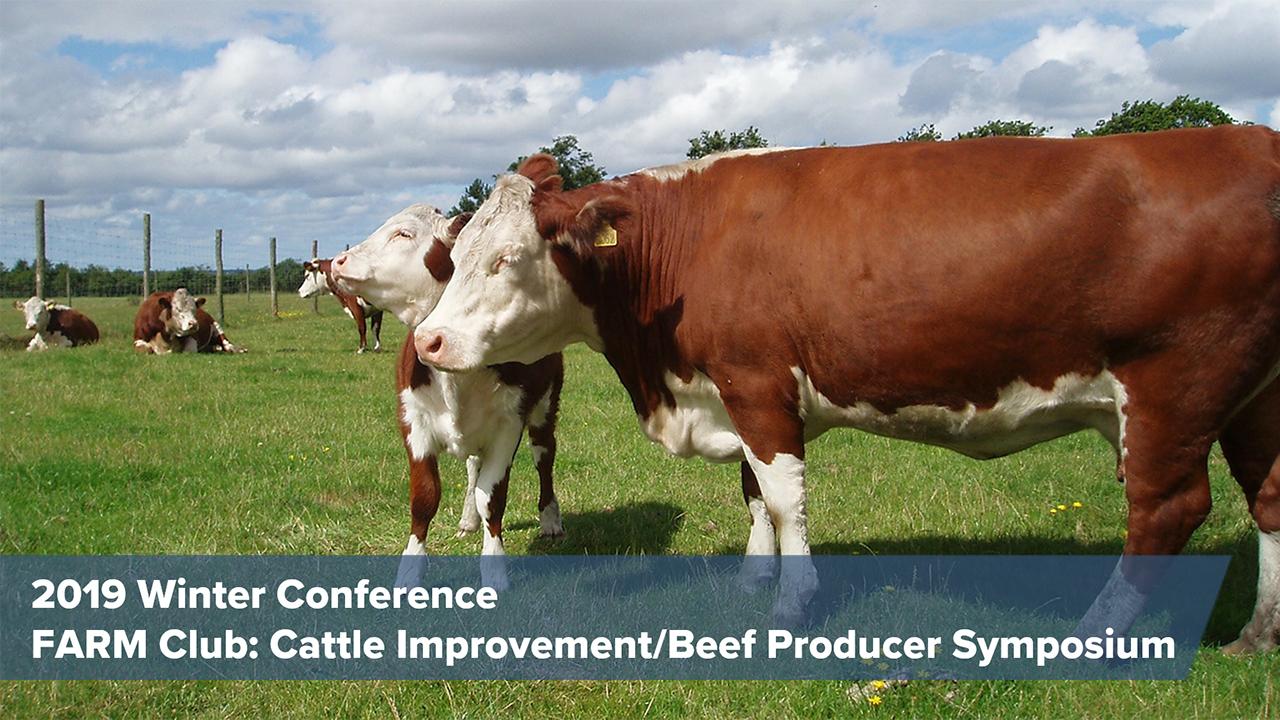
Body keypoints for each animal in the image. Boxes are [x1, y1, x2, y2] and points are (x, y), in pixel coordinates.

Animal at [332, 199, 563, 584]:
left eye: (404, 233)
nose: (338, 261)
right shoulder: (414, 422)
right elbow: (425, 498)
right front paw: (409, 572)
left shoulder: (508, 424)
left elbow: (492, 496)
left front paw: (494, 566)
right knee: (472, 468)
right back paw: (468, 521)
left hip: (545, 407)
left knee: (544, 458)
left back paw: (550, 520)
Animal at [417, 126, 1280, 653]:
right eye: (454, 257)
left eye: (504, 260)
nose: (427, 340)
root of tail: (1250, 138)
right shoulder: (739, 395)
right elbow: (755, 495)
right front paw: (754, 578)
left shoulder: (758, 382)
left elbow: (784, 495)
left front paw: (791, 606)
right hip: (1254, 398)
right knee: (1266, 498)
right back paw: (1256, 635)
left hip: (1175, 384)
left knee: (1169, 508)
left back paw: (1092, 638)